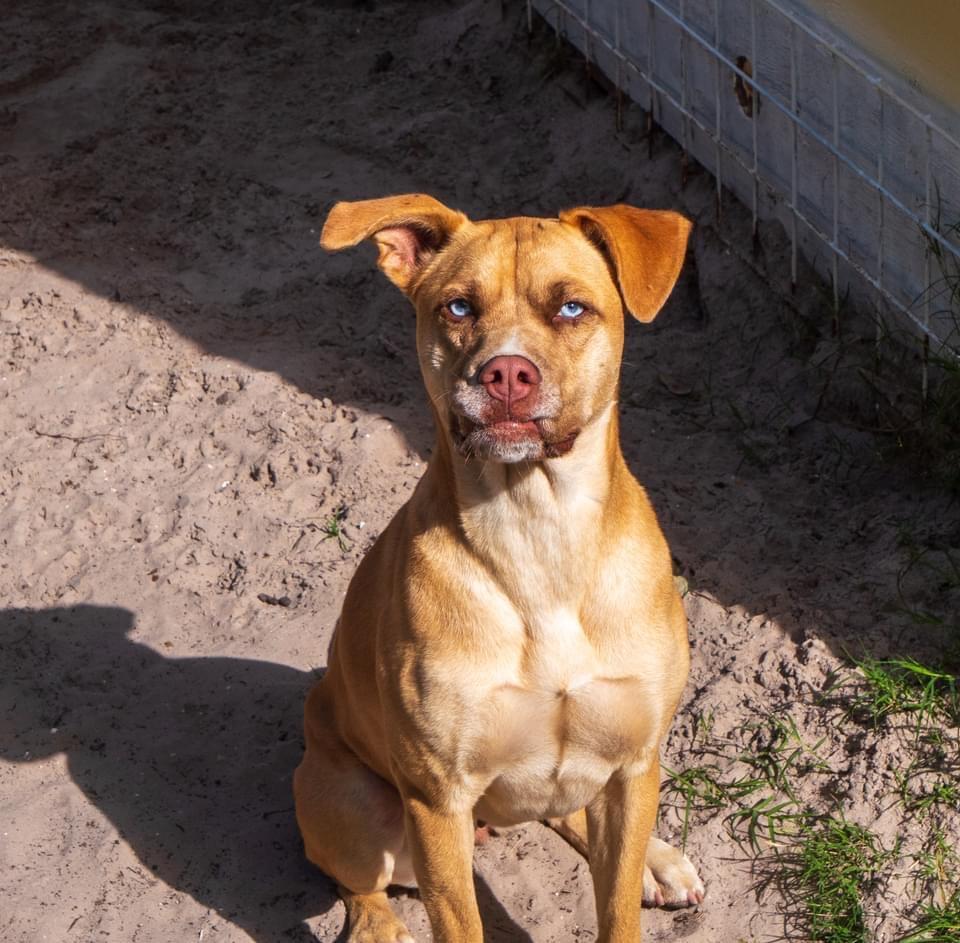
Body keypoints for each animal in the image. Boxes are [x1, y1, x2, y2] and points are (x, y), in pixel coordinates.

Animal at [292, 195, 704, 940]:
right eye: (458, 307)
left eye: (571, 308)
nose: (507, 372)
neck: (539, 536)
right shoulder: (438, 802)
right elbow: (460, 923)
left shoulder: (635, 765)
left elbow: (616, 906)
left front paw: (639, 870)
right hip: (356, 808)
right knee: (356, 882)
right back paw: (376, 927)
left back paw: (656, 860)